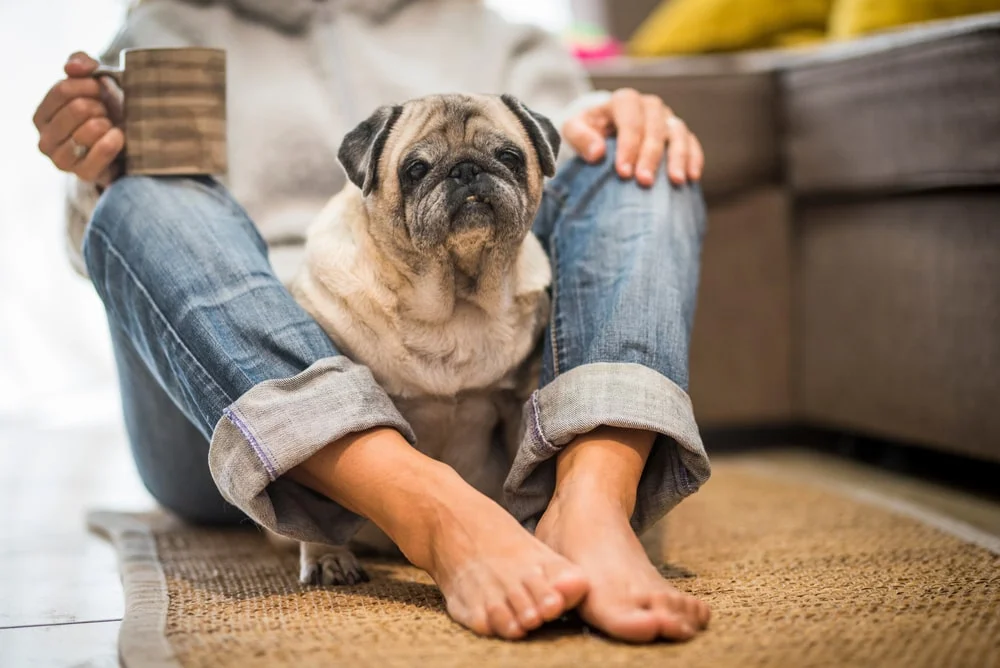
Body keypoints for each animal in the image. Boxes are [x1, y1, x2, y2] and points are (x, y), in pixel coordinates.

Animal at [270, 92, 560, 584]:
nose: (466, 169)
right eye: (416, 169)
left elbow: (522, 484)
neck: (454, 301)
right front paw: (327, 556)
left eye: (509, 157)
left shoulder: (515, 404)